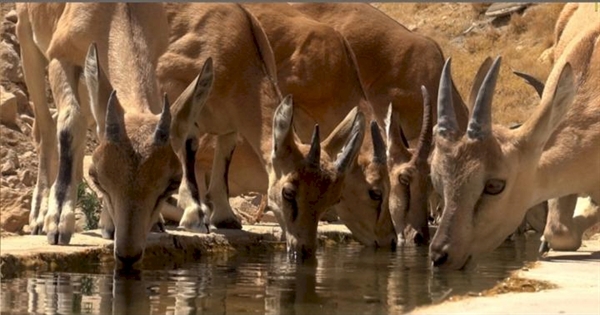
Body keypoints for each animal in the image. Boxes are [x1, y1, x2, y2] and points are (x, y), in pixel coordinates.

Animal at [15, 3, 213, 268]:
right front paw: (58, 223)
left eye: (171, 182)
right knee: (45, 128)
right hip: (28, 42)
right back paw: (39, 216)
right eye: (96, 177)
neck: (118, 11)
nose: (128, 253)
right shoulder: (61, 55)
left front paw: (110, 224)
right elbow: (70, 122)